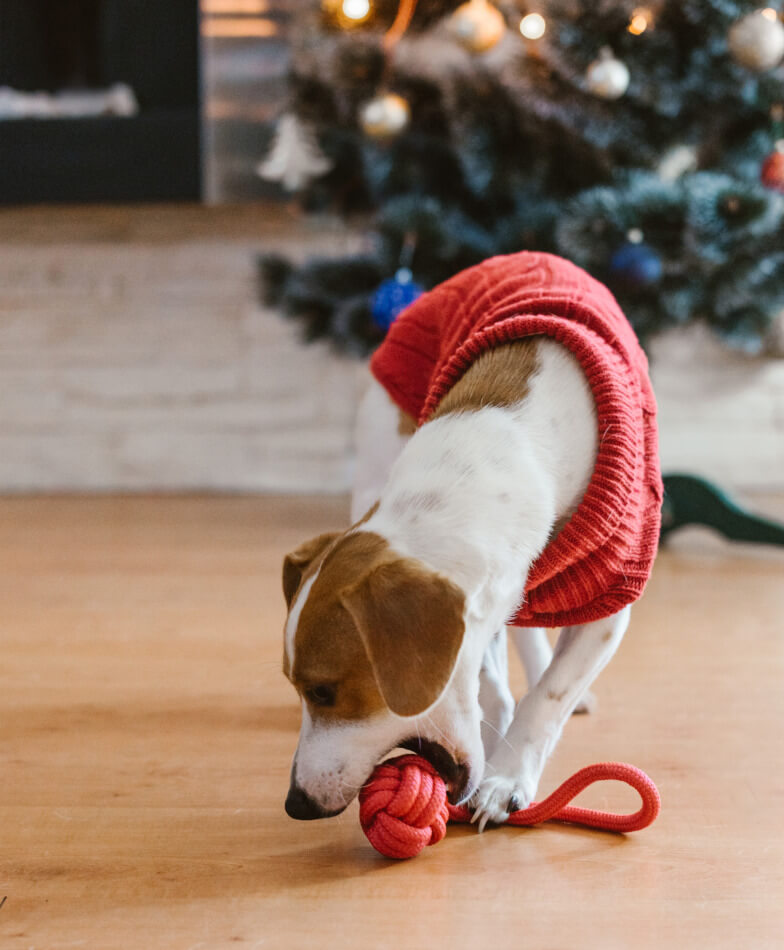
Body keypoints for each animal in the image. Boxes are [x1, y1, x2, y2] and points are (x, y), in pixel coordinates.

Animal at [282, 253, 660, 832]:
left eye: (324, 691)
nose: (295, 804)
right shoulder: (486, 606)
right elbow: (488, 682)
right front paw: (494, 728)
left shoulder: (608, 604)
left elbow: (547, 697)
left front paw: (508, 777)